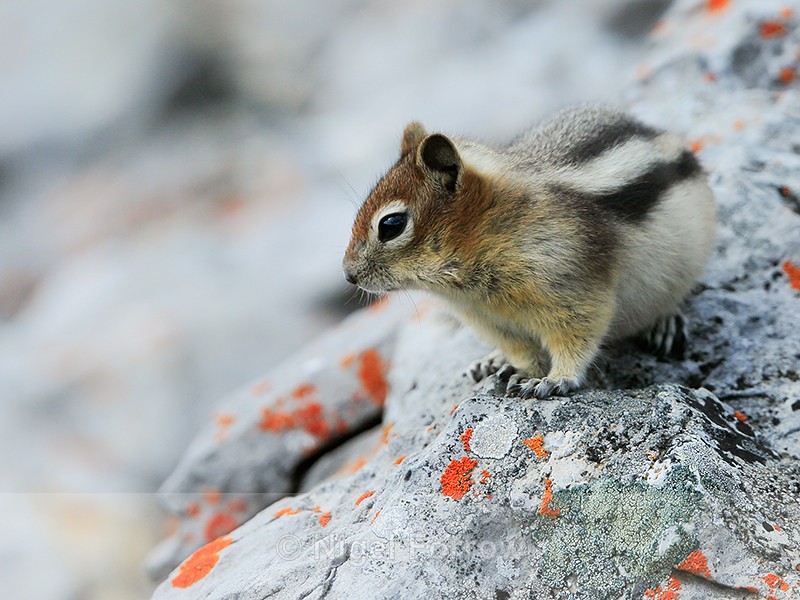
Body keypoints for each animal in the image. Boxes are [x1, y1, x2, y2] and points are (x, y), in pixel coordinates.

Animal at [342, 106, 715, 399]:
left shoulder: (575, 292)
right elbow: (521, 352)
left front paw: (555, 380)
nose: (349, 274)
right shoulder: (494, 324)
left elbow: (576, 340)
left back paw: (666, 321)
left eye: (391, 224)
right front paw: (516, 368)